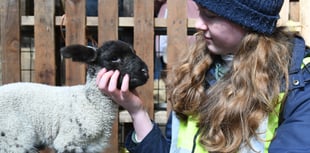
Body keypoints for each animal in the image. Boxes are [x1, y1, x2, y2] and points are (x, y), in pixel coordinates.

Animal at [0, 40, 149, 152]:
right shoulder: (67, 141)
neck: (90, 103)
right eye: (114, 58)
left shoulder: (91, 147)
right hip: (14, 138)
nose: (145, 72)